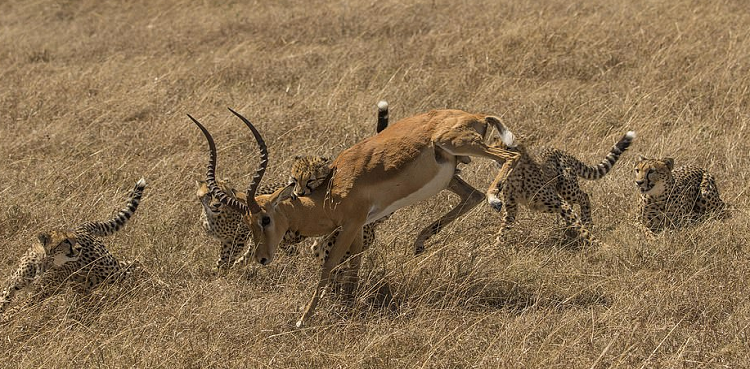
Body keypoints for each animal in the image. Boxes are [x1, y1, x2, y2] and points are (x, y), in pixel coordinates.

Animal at [1, 178, 148, 316]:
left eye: (74, 239)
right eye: (66, 241)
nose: (79, 248)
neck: (44, 261)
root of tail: (84, 227)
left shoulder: (41, 292)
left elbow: (18, 307)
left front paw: (6, 317)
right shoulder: (14, 284)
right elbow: (4, 297)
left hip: (107, 270)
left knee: (132, 264)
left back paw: (146, 281)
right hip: (87, 279)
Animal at [488, 131, 640, 246]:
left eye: (509, 148)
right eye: (496, 148)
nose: (501, 159)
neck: (515, 174)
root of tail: (562, 152)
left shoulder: (558, 202)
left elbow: (581, 227)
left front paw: (599, 244)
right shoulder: (511, 207)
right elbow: (504, 228)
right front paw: (496, 247)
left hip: (567, 190)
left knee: (584, 196)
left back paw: (586, 222)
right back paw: (568, 229)